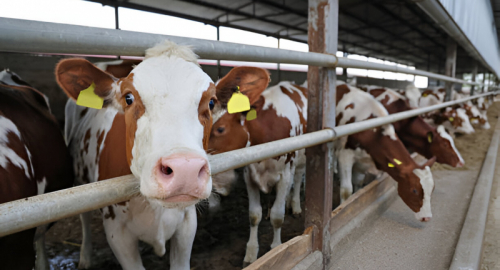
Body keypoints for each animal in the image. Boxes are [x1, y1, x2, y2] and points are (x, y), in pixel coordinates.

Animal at [57, 40, 234, 270]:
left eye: (211, 102)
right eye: (128, 98)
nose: (185, 170)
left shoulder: (187, 223)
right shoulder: (117, 232)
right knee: (83, 215)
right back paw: (85, 256)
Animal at [206, 67, 304, 266]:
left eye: (220, 129)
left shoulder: (284, 174)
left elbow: (277, 216)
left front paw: (276, 248)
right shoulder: (249, 175)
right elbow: (254, 215)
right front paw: (251, 253)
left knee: (297, 178)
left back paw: (294, 204)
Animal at [336, 82, 438, 221]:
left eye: (432, 189)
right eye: (414, 190)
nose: (427, 217)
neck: (374, 134)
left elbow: (359, 184)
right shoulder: (345, 155)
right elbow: (346, 191)